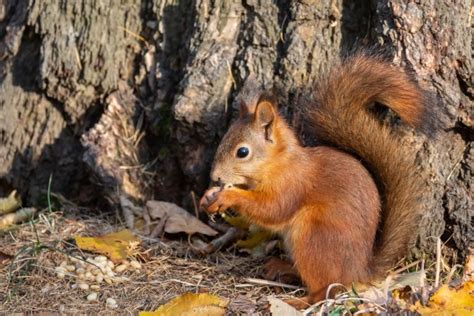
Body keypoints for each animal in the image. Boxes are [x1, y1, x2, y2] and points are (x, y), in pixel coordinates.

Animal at [198, 54, 438, 308]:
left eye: (242, 152)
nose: (215, 177)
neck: (277, 163)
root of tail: (359, 272)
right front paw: (208, 196)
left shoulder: (292, 185)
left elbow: (272, 209)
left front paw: (227, 196)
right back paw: (281, 267)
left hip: (314, 238)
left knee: (325, 291)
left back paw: (296, 301)